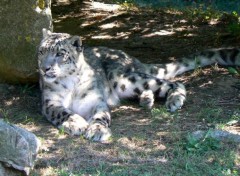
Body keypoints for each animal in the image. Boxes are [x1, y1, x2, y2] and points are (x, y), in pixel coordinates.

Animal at [37, 28, 240, 142]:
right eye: (41, 51)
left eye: (60, 54)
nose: (45, 68)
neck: (69, 84)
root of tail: (132, 58)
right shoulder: (49, 102)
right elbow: (62, 111)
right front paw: (77, 123)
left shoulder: (96, 101)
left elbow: (101, 116)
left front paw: (97, 130)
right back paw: (147, 99)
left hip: (123, 79)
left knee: (175, 83)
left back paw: (174, 101)